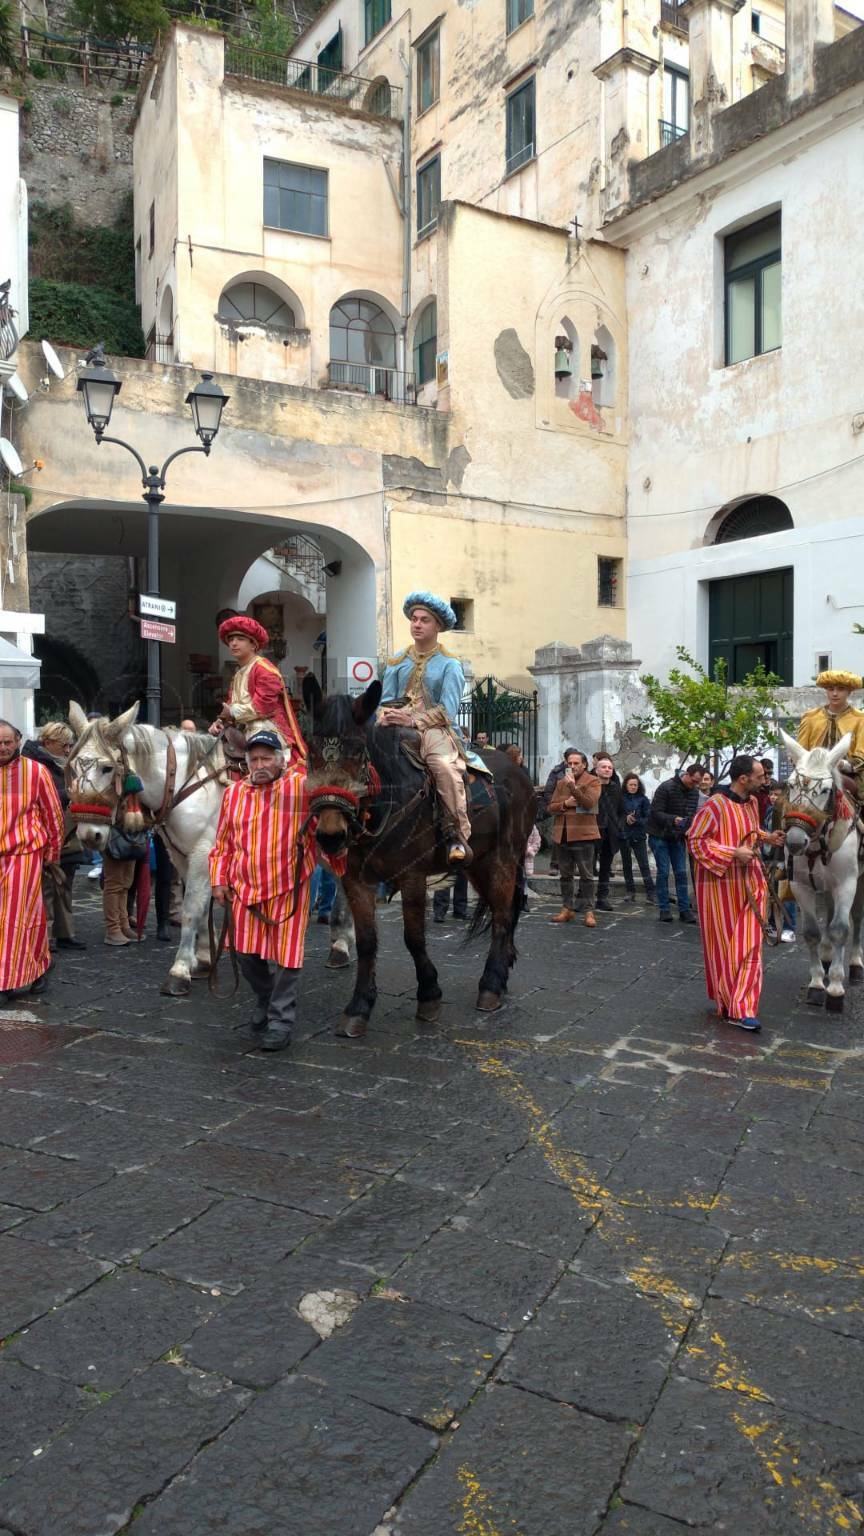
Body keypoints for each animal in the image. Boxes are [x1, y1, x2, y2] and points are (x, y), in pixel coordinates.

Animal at [301, 678, 531, 1038]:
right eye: (311, 750)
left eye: (358, 750)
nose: (330, 835)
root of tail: (519, 770)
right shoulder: (355, 879)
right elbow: (367, 942)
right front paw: (359, 1007)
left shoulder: (412, 877)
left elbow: (414, 937)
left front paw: (429, 995)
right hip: (479, 863)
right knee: (502, 910)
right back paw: (502, 972)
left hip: (504, 860)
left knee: (504, 914)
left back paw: (491, 985)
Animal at [777, 728, 854, 1007]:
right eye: (790, 785)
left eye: (826, 790)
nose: (795, 841)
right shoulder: (800, 885)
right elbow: (812, 932)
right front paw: (818, 983)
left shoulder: (847, 884)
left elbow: (841, 929)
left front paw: (836, 988)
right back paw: (828, 957)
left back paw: (855, 964)